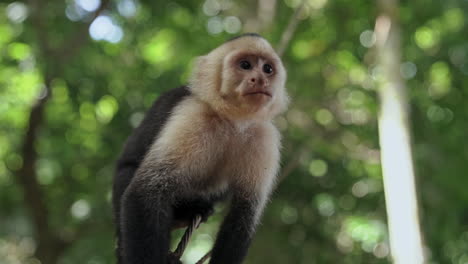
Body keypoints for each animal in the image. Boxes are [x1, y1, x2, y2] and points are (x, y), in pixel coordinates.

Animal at [113, 33, 288, 264]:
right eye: (245, 65)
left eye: (268, 69)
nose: (259, 79)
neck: (233, 121)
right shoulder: (193, 115)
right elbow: (145, 193)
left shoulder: (265, 137)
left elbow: (243, 216)